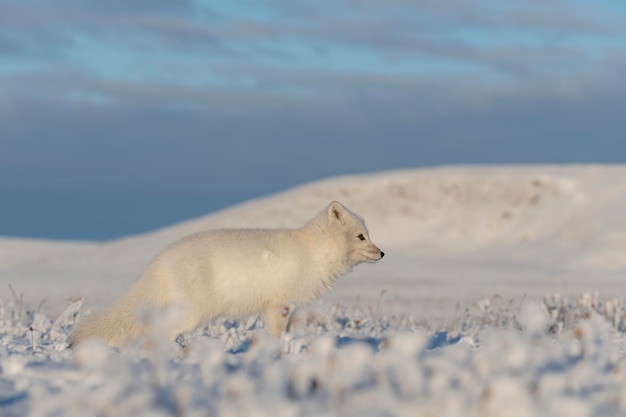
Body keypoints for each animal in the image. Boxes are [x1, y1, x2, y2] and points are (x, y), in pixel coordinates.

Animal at [68, 200, 380, 346]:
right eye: (361, 237)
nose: (383, 254)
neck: (314, 252)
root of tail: (161, 259)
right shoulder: (278, 305)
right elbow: (276, 335)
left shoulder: (283, 307)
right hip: (192, 313)